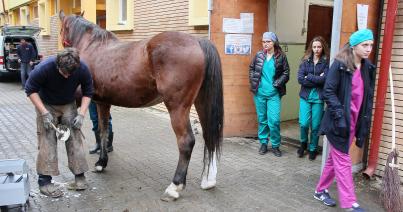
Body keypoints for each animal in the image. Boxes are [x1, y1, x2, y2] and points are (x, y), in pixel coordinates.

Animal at [59, 11, 224, 200]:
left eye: (62, 29)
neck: (93, 47)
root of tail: (197, 41)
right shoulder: (104, 103)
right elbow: (104, 131)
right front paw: (102, 162)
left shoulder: (91, 101)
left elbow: (100, 131)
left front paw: (100, 162)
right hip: (202, 103)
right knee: (209, 135)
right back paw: (208, 180)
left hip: (177, 107)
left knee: (186, 141)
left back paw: (175, 186)